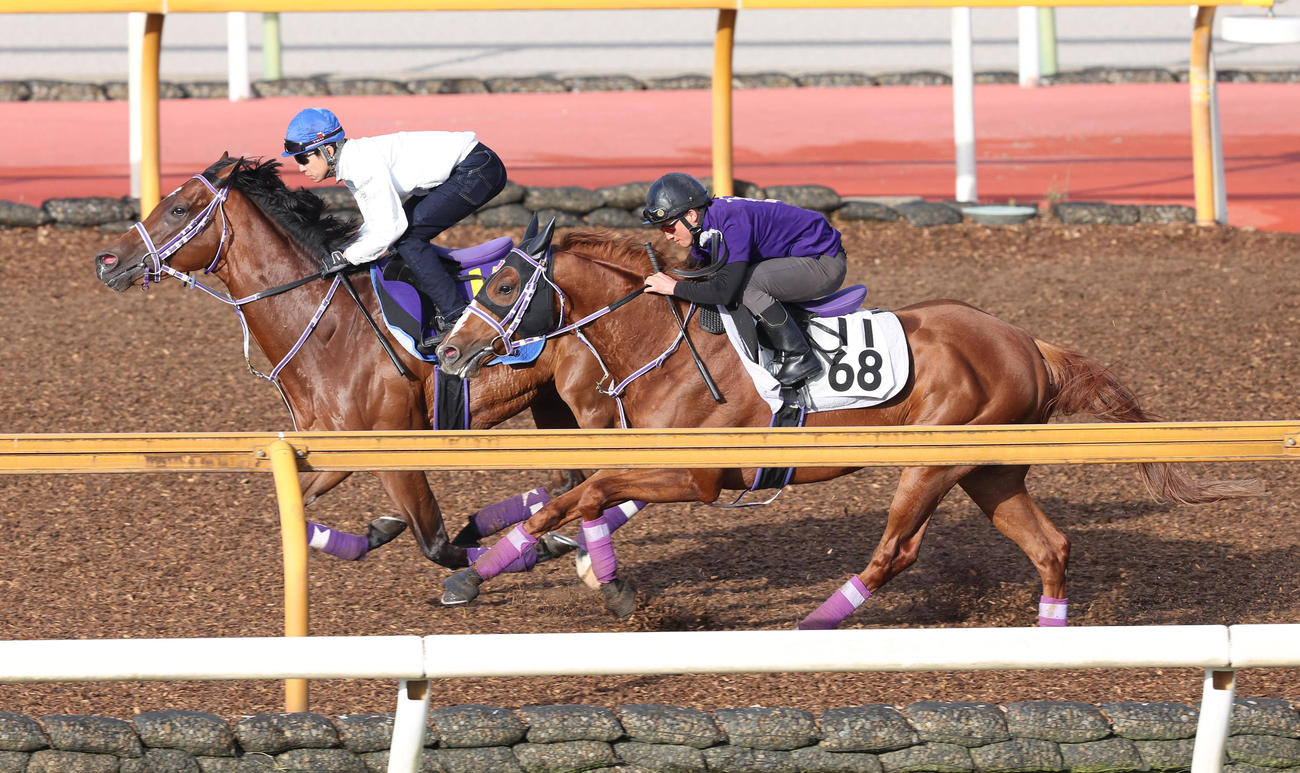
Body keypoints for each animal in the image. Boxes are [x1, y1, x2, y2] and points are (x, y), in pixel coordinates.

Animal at [93, 154, 623, 570]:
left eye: (179, 207)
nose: (107, 260)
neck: (330, 327)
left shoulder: (395, 446)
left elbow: (438, 545)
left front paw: (504, 558)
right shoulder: (330, 445)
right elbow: (294, 507)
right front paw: (378, 530)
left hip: (589, 404)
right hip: (550, 402)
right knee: (568, 478)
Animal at [434, 228, 1262, 627]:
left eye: (502, 285)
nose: (446, 348)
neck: (664, 340)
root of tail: (1029, 343)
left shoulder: (696, 476)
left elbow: (584, 492)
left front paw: (507, 567)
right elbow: (583, 495)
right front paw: (512, 562)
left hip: (932, 463)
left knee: (896, 551)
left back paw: (815, 624)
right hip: (989, 470)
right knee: (1050, 545)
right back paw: (1050, 638)